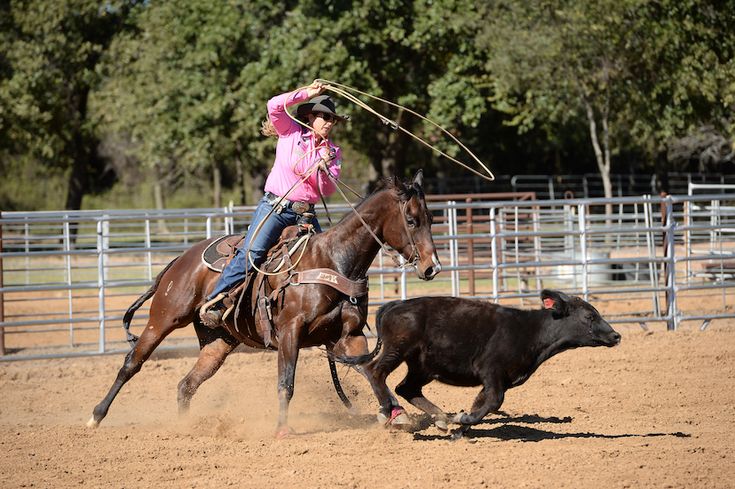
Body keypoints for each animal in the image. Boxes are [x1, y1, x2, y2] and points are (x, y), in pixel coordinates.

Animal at [88, 171, 440, 434]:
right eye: (411, 220)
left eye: (431, 218)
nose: (432, 267)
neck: (333, 261)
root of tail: (179, 260)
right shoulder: (290, 332)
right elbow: (286, 382)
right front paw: (282, 429)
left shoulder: (348, 337)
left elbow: (371, 370)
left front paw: (397, 413)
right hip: (163, 319)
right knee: (132, 363)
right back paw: (96, 415)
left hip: (218, 342)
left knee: (186, 385)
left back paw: (186, 427)